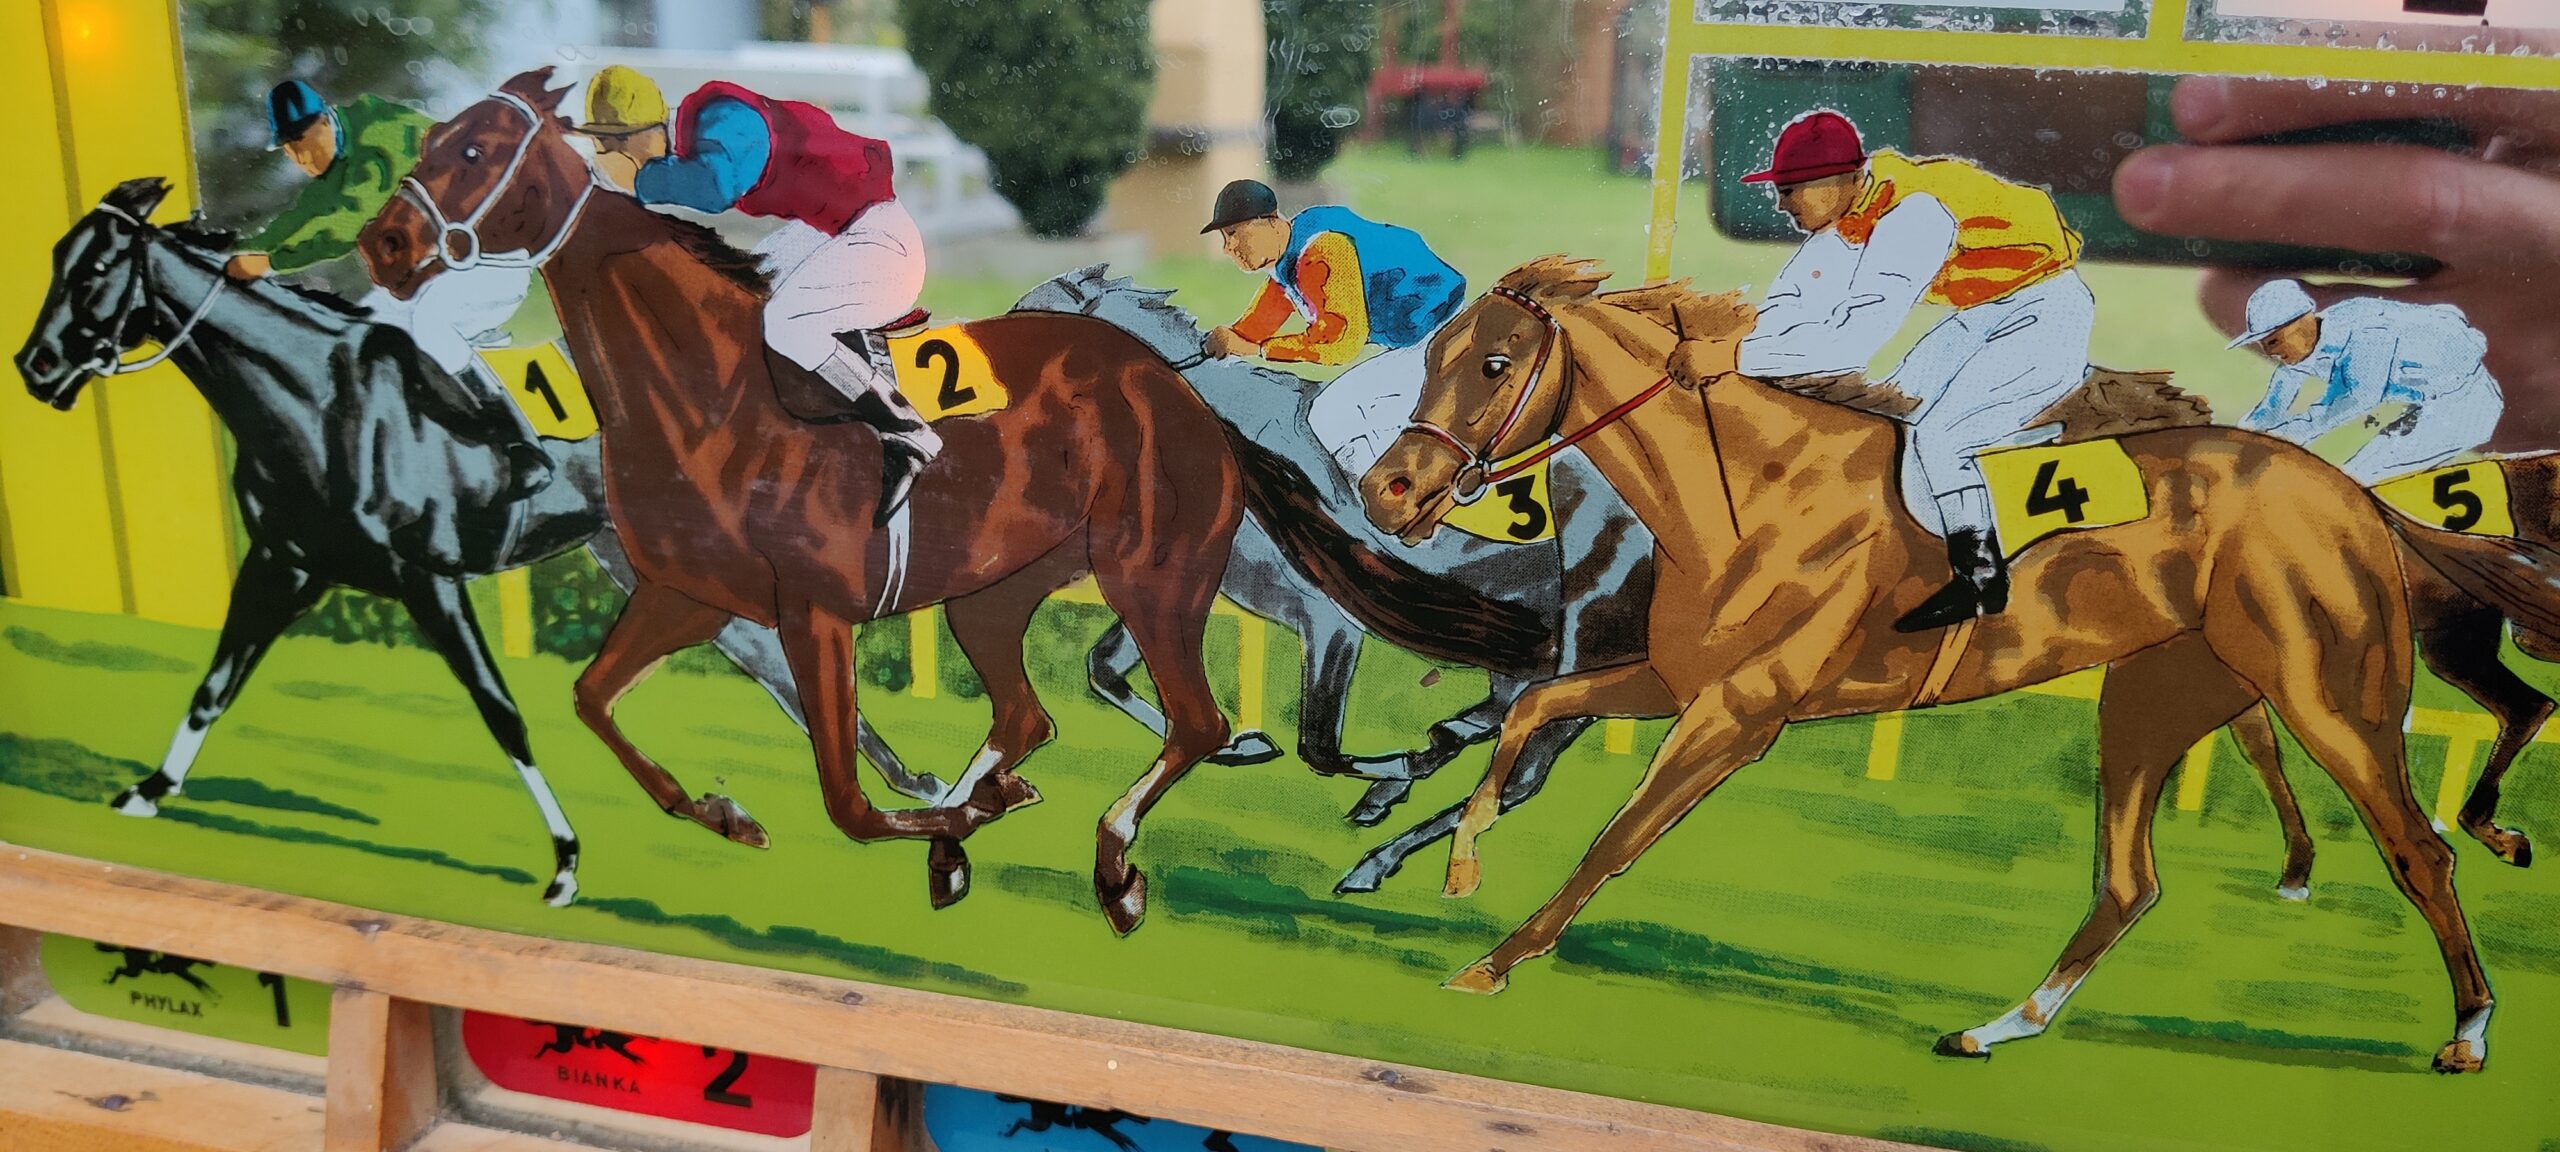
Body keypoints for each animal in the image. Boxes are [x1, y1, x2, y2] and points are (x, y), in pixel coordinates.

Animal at [11, 177, 949, 908]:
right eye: (54, 256)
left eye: (97, 269)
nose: (34, 367)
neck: (318, 397)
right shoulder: (286, 562)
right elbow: (213, 685)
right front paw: (147, 792)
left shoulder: (427, 578)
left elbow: (502, 714)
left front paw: (566, 862)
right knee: (780, 674)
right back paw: (905, 786)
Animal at [360, 70, 1249, 933]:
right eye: (433, 137)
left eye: (473, 151)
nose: (384, 244)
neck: (712, 393)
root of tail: (1170, 382)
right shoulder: (685, 594)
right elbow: (592, 700)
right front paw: (726, 814)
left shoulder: (815, 614)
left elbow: (849, 804)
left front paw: (963, 818)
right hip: (991, 593)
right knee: (1027, 715)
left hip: (1153, 579)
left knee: (1198, 724)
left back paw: (1112, 865)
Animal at [1011, 268, 1656, 891]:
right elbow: (1106, 670)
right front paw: (1246, 746)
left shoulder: (1330, 620)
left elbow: (1318, 746)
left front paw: (1390, 764)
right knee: (1499, 733)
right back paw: (1411, 780)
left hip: (1583, 661)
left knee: (1516, 781)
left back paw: (1384, 838)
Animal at [1357, 256, 2554, 1072]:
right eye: (1431, 354)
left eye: (1495, 363)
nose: (1387, 491)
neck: (1751, 487)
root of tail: (2354, 496)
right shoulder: (1678, 682)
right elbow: (1532, 713)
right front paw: (1459, 854)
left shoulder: (1738, 714)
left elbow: (1614, 838)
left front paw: (1494, 959)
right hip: (2156, 698)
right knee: (2130, 880)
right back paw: (1997, 1026)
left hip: (2330, 691)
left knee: (2418, 851)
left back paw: (2469, 1028)